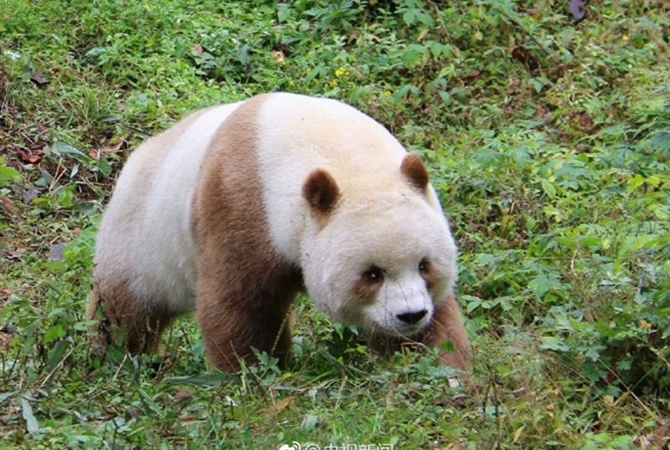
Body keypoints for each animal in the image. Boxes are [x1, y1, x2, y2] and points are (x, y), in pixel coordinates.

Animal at [88, 92, 472, 372]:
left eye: (424, 265)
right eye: (372, 274)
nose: (410, 315)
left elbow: (439, 318)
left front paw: (438, 368)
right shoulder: (243, 203)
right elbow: (240, 303)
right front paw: (252, 373)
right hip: (140, 236)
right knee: (125, 310)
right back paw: (115, 356)